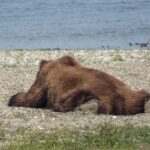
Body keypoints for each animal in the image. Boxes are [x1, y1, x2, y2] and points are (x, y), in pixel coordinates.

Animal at [8, 55, 150, 115]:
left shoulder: (44, 79)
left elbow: (31, 98)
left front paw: (13, 98)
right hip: (129, 91)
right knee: (142, 92)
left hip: (95, 93)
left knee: (69, 101)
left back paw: (88, 105)